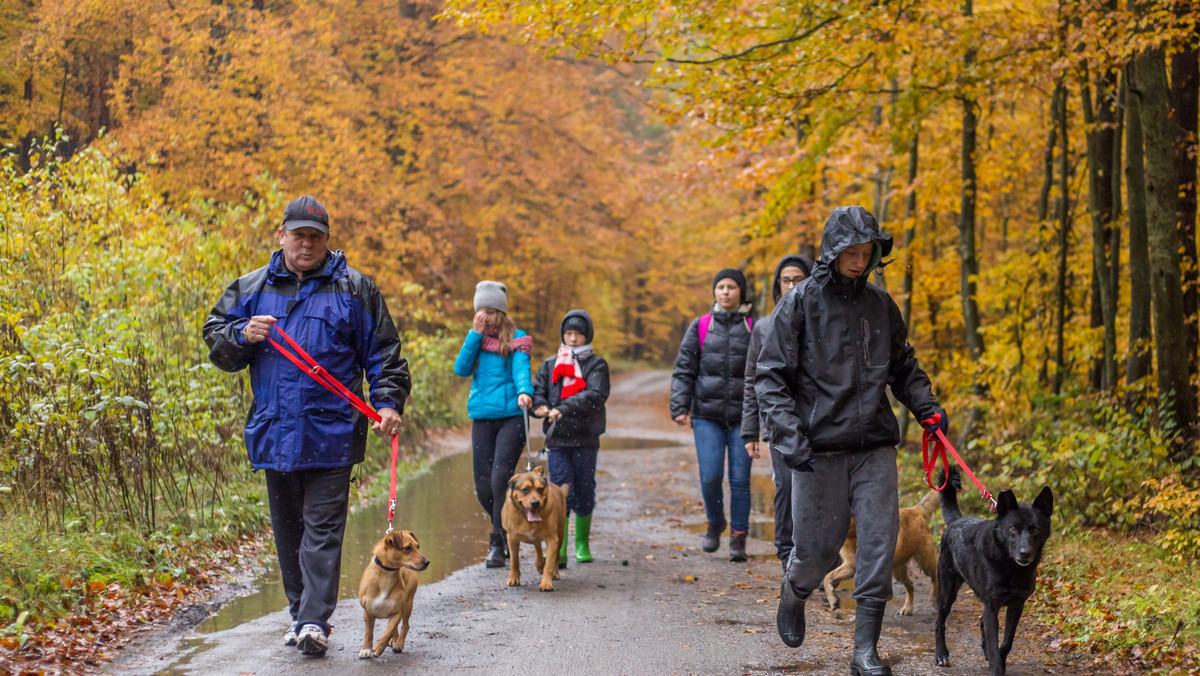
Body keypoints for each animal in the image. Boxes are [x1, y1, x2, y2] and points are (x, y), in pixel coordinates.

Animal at [355, 528, 432, 662]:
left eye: (417, 546)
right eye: (408, 548)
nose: (427, 562)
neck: (386, 573)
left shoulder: (397, 612)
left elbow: (388, 631)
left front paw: (379, 647)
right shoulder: (368, 612)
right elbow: (369, 633)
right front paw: (366, 649)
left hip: (408, 605)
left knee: (405, 625)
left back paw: (398, 644)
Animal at [499, 465, 568, 593]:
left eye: (540, 489)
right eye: (525, 489)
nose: (535, 502)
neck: (527, 520)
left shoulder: (552, 539)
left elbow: (549, 563)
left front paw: (546, 583)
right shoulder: (511, 538)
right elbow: (514, 560)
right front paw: (514, 578)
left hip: (560, 533)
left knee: (556, 555)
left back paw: (554, 571)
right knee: (537, 545)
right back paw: (539, 563)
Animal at [936, 468, 1051, 676]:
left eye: (1035, 530)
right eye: (1012, 528)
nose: (1025, 553)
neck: (1009, 565)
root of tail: (957, 520)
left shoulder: (1016, 605)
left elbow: (1006, 642)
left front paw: (998, 659)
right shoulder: (991, 605)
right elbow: (994, 643)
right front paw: (997, 668)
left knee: (981, 623)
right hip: (947, 592)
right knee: (939, 623)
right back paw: (941, 654)